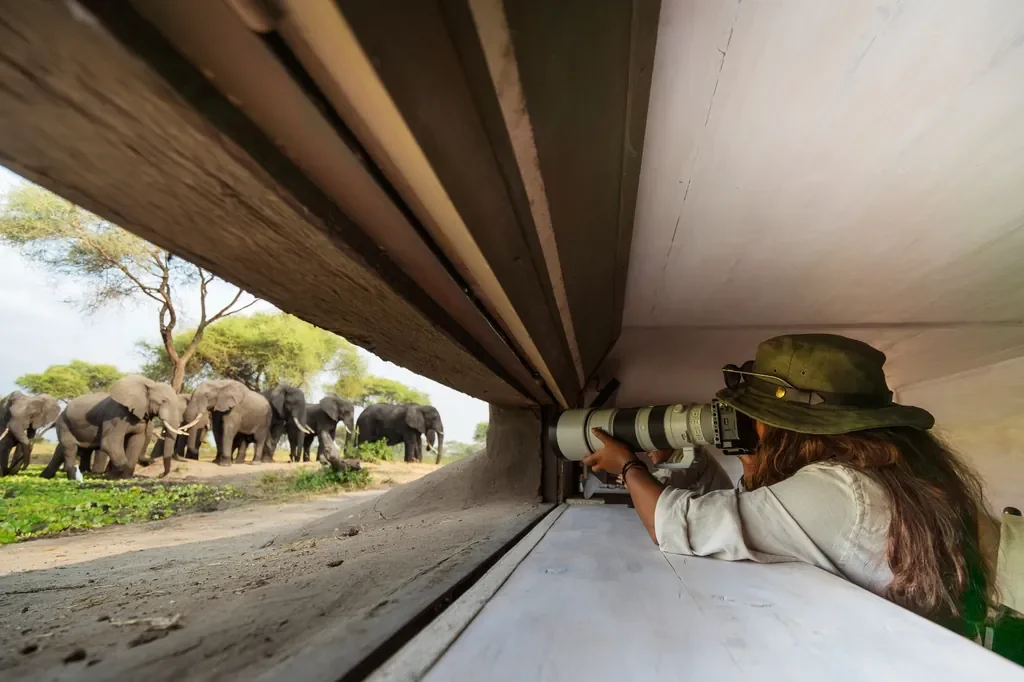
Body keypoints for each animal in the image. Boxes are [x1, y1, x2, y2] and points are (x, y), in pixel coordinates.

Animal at [41, 375, 196, 479]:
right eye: (163, 401)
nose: (160, 475)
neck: (147, 384)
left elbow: (136, 442)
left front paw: (125, 477)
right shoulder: (115, 415)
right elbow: (109, 443)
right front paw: (112, 476)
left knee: (65, 448)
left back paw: (47, 476)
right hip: (64, 423)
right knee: (70, 447)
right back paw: (73, 475)